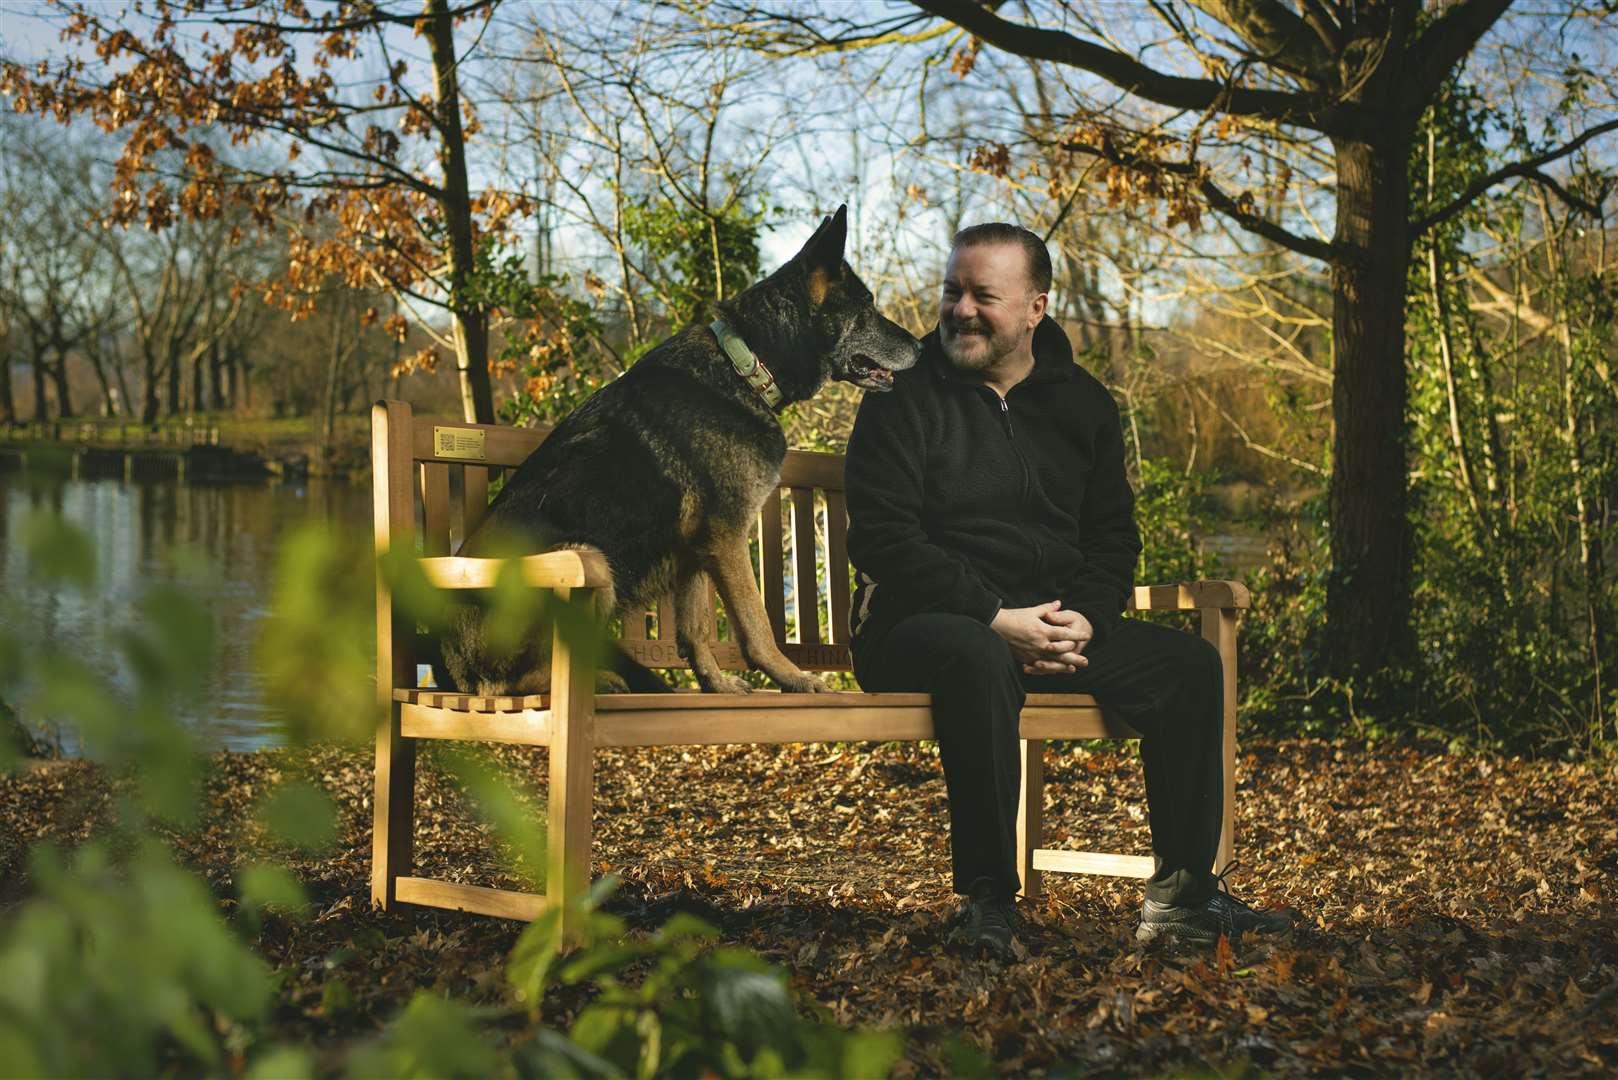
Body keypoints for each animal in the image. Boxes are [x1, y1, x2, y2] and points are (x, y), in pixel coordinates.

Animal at [440, 204, 925, 696]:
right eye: (866, 306)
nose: (921, 346)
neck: (745, 364)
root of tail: (451, 672)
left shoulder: (696, 550)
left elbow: (694, 629)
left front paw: (716, 683)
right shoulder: (727, 537)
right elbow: (757, 622)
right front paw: (790, 676)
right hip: (585, 558)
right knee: (520, 680)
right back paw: (602, 681)